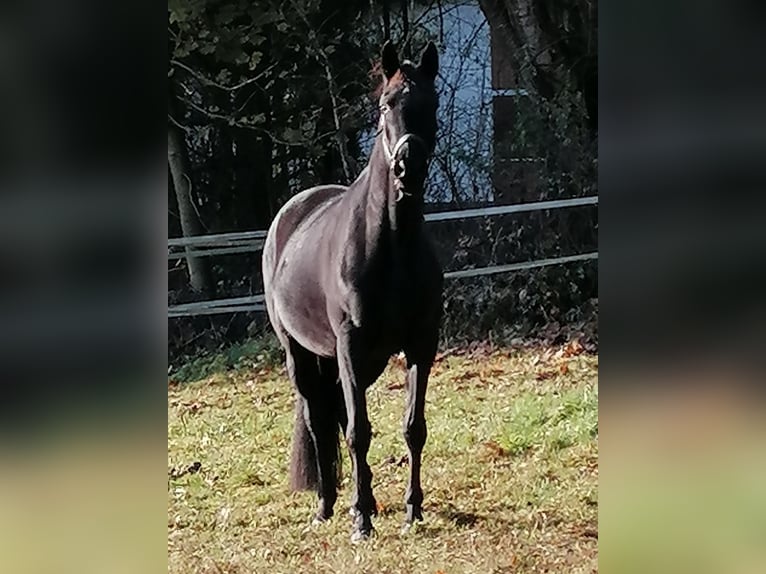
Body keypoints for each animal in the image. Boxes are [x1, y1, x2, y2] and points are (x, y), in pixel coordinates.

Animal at [264, 41, 444, 544]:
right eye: (386, 104)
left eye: (432, 104)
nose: (408, 167)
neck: (391, 246)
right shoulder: (349, 344)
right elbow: (358, 433)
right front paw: (361, 521)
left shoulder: (421, 345)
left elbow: (413, 428)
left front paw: (412, 511)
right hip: (302, 356)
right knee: (318, 419)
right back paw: (327, 505)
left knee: (337, 417)